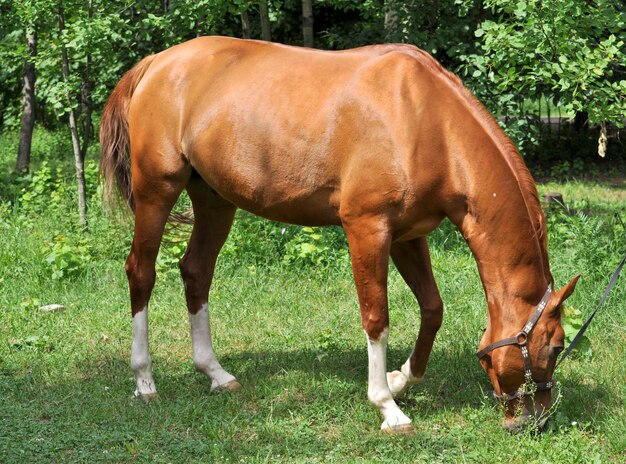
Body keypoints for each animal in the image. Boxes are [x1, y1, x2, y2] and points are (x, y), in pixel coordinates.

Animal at [98, 37, 576, 436]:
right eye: (554, 347)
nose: (535, 422)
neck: (425, 120)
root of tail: (157, 62)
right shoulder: (366, 228)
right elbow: (376, 318)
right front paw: (387, 407)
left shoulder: (407, 235)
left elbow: (433, 309)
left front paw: (399, 380)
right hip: (156, 190)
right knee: (141, 272)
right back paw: (145, 381)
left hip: (214, 200)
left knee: (196, 271)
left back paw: (216, 373)